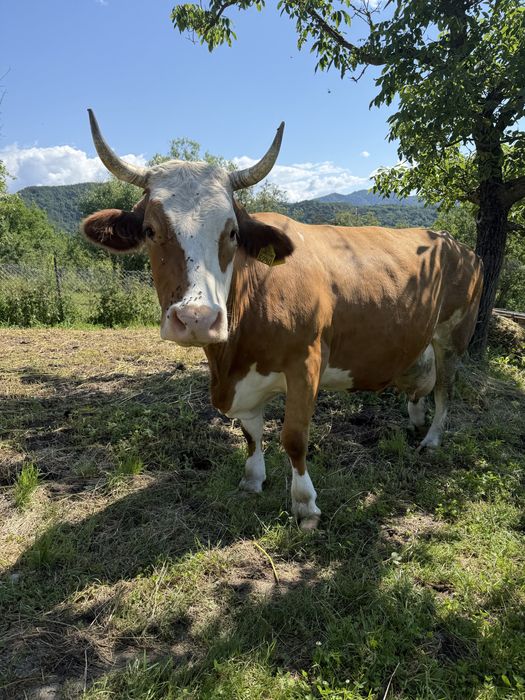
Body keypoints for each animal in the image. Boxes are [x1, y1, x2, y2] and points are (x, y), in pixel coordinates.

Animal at [83, 110, 483, 529]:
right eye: (150, 230)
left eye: (232, 232)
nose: (196, 318)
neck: (233, 356)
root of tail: (454, 243)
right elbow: (250, 432)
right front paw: (252, 479)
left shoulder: (306, 362)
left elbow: (293, 437)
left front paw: (305, 504)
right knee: (421, 382)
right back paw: (415, 419)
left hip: (454, 335)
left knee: (445, 388)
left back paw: (432, 439)